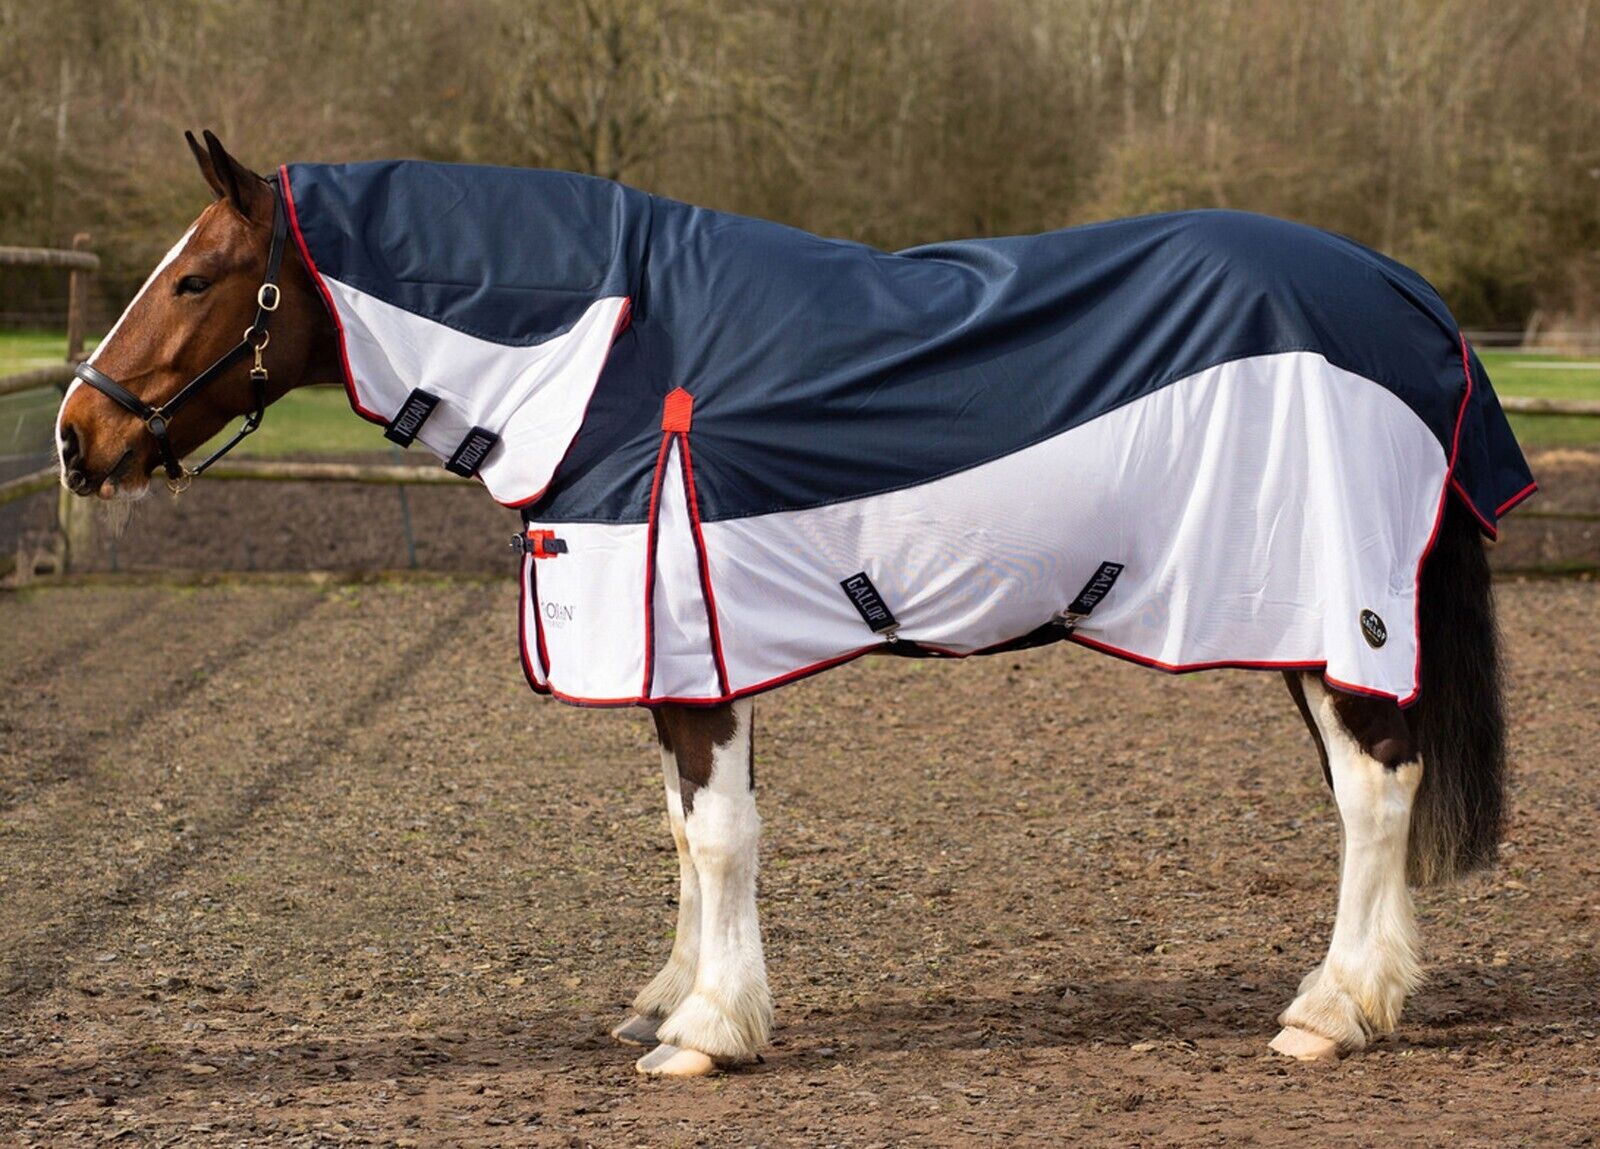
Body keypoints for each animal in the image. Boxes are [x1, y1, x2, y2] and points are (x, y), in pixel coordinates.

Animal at [57, 132, 1534, 1078]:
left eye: (194, 279)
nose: (77, 435)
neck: (616, 352)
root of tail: (1407, 299)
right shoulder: (676, 646)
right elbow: (680, 832)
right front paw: (673, 1004)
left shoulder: (690, 641)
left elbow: (718, 839)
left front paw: (709, 1033)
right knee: (1376, 791)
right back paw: (1377, 994)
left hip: (1334, 616)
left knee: (1376, 792)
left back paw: (1332, 1013)